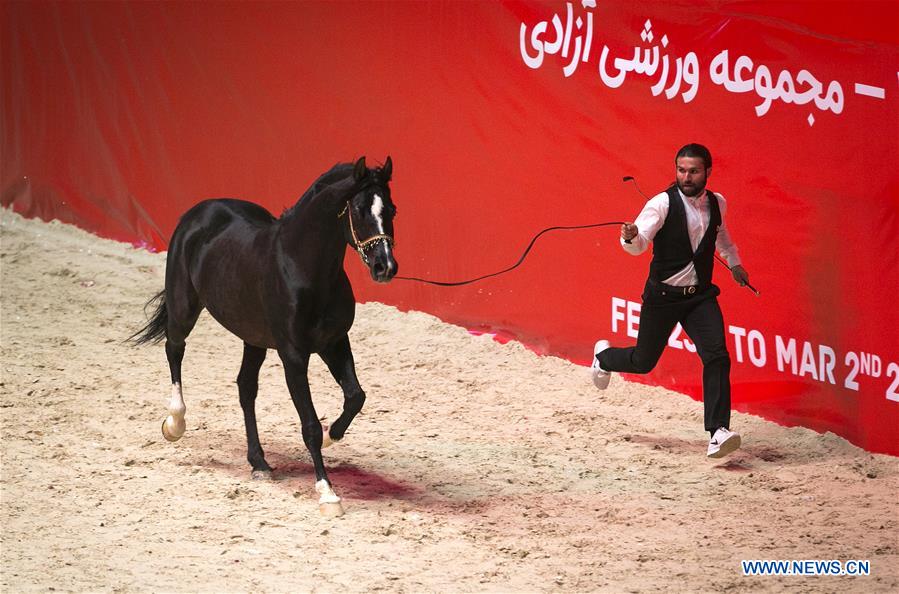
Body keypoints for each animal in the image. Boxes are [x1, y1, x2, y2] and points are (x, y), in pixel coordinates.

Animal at [130, 156, 397, 516]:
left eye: (392, 209)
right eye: (358, 209)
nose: (386, 267)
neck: (303, 268)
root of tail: (201, 210)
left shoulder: (335, 343)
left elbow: (355, 396)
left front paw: (333, 434)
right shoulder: (293, 355)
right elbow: (309, 425)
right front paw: (328, 493)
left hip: (253, 338)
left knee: (245, 387)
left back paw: (258, 462)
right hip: (183, 308)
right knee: (175, 350)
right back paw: (175, 424)